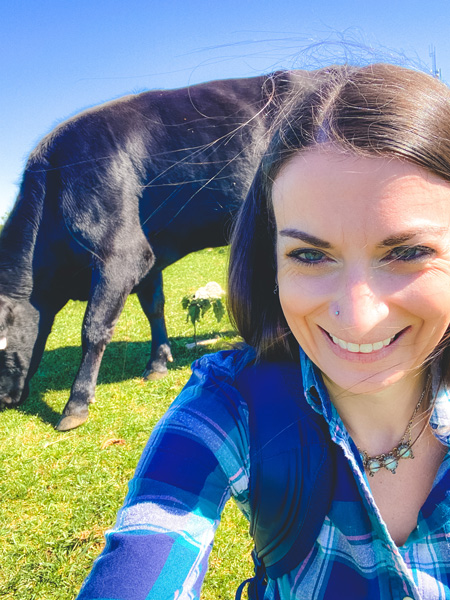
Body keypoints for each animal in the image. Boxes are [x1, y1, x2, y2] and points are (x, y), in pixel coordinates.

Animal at [0, 68, 326, 428]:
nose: (3, 399)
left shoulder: (121, 253)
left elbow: (94, 327)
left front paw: (76, 404)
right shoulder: (149, 255)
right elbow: (153, 306)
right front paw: (157, 363)